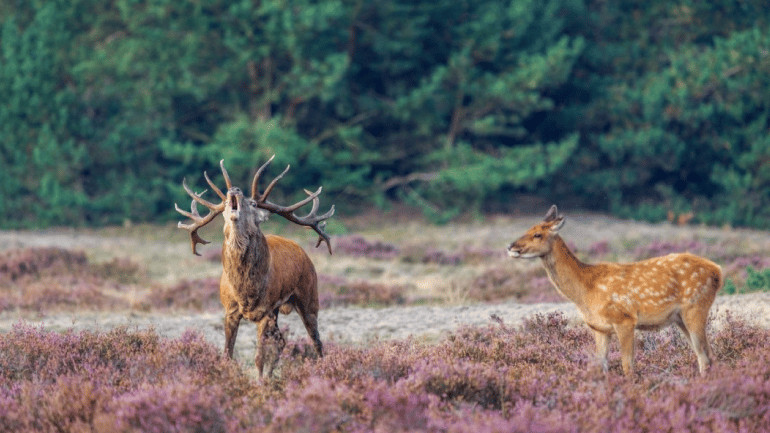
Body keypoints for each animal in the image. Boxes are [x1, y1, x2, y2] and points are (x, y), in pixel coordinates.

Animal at [177, 157, 332, 376]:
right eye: (226, 203)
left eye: (252, 203)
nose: (234, 189)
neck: (246, 291)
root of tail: (303, 252)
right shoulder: (230, 310)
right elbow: (227, 354)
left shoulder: (265, 311)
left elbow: (259, 357)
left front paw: (259, 382)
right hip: (278, 310)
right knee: (281, 342)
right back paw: (271, 376)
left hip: (309, 296)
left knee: (316, 341)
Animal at [510, 206, 720, 374]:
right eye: (527, 229)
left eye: (538, 234)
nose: (511, 247)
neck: (585, 290)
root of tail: (717, 271)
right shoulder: (599, 328)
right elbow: (602, 365)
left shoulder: (625, 319)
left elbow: (627, 366)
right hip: (679, 318)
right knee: (706, 355)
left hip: (696, 307)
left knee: (706, 355)